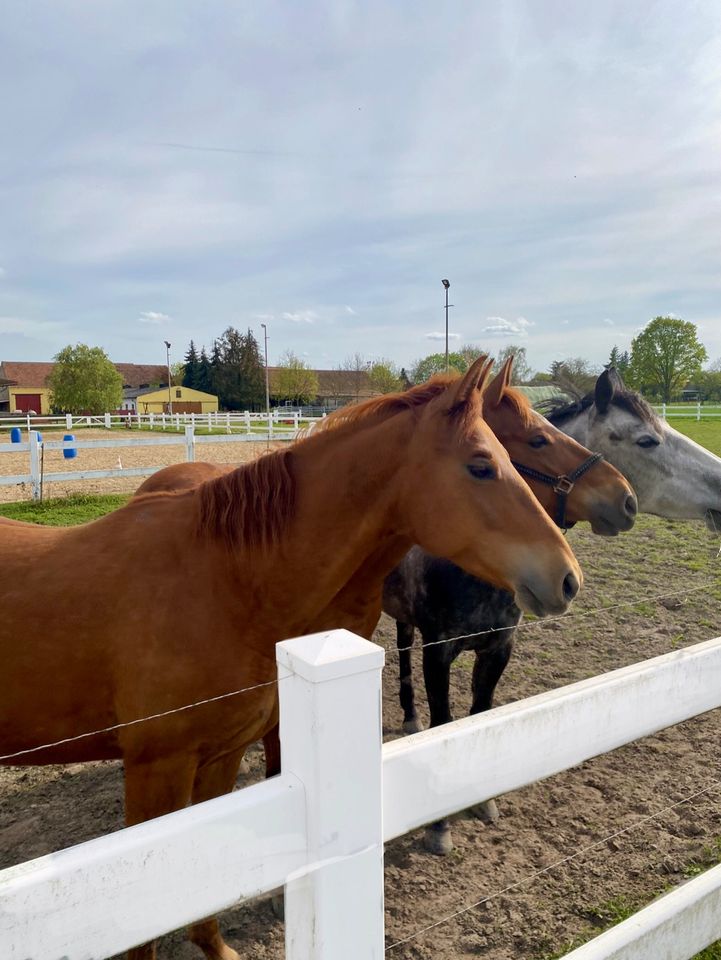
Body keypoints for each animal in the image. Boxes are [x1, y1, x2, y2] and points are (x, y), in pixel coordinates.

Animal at [0, 358, 580, 960]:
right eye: (483, 466)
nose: (567, 577)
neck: (223, 583)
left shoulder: (221, 753)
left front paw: (215, 947)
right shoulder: (155, 770)